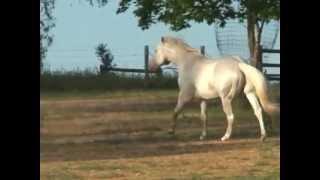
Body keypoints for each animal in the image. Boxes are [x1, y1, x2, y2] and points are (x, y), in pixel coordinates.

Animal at [149, 35, 278, 141]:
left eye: (156, 50)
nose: (151, 67)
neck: (186, 62)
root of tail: (238, 63)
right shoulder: (203, 100)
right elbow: (203, 117)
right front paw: (203, 136)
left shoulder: (184, 96)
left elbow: (175, 112)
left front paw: (171, 132)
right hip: (249, 93)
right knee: (258, 111)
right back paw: (263, 136)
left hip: (226, 99)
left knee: (230, 116)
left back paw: (225, 137)